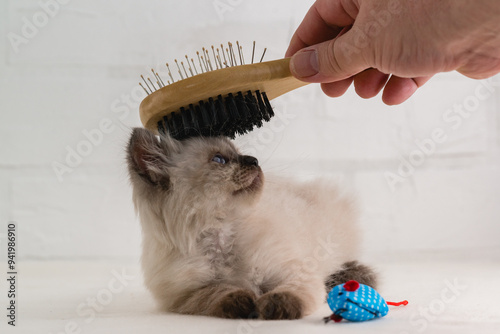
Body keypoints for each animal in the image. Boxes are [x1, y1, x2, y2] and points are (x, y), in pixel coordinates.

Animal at [126, 129, 376, 320]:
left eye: (238, 153)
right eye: (219, 159)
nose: (254, 160)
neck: (220, 235)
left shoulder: (294, 273)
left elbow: (289, 293)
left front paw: (275, 307)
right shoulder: (186, 295)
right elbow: (218, 292)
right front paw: (245, 303)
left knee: (341, 266)